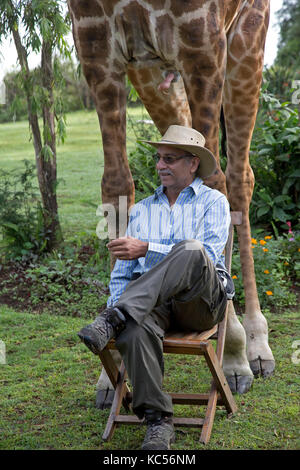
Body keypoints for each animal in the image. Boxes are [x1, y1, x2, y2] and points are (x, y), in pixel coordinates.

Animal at [68, 0, 274, 404]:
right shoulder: (96, 44)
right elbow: (116, 184)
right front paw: (111, 375)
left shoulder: (202, 42)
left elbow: (215, 183)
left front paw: (233, 358)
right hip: (152, 72)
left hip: (247, 40)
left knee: (239, 178)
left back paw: (256, 347)